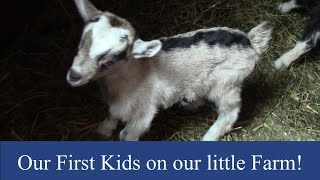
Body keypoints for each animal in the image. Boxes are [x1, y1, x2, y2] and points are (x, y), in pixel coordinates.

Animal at [67, 0, 272, 141]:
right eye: (82, 39)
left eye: (114, 57)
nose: (74, 75)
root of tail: (251, 41)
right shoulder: (118, 103)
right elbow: (113, 114)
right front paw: (103, 130)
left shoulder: (143, 112)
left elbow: (127, 134)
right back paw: (190, 103)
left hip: (227, 82)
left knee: (230, 112)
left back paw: (208, 136)